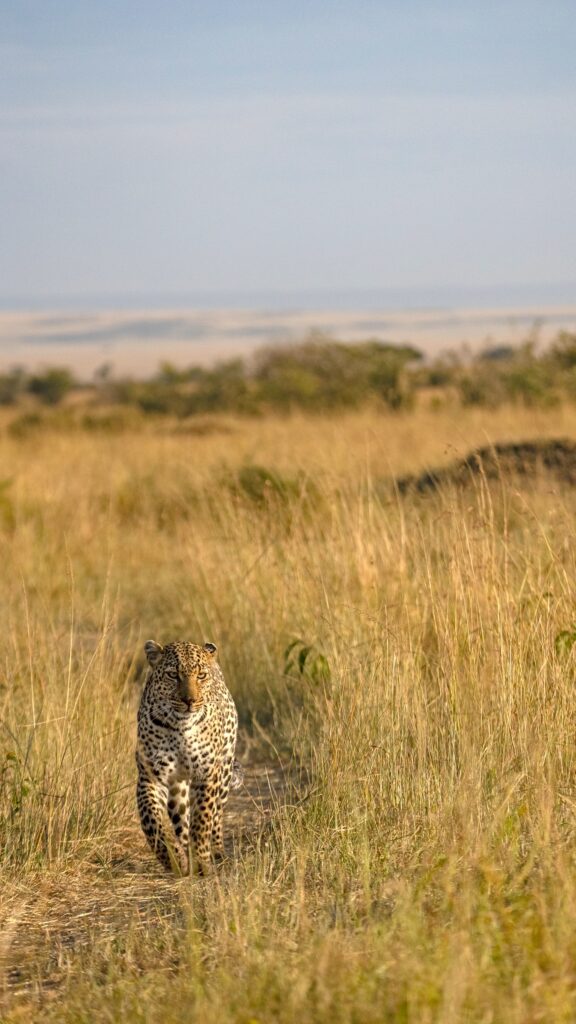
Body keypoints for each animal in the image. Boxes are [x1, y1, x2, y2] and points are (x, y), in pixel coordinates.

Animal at [135, 638, 239, 872]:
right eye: (173, 675)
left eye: (201, 675)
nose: (190, 700)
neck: (180, 726)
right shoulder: (150, 776)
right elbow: (152, 821)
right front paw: (173, 858)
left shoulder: (207, 775)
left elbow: (202, 819)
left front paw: (201, 860)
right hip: (178, 787)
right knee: (181, 820)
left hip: (225, 769)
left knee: (217, 815)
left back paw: (217, 852)